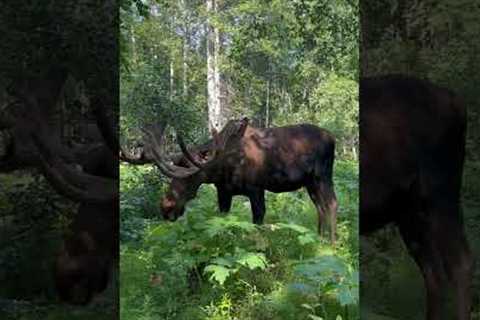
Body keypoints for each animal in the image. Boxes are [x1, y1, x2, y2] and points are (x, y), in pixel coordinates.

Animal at [121, 119, 338, 244]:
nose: (166, 207)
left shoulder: (256, 189)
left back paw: (333, 244)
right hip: (310, 182)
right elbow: (222, 220)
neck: (223, 166)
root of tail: (333, 138)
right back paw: (319, 239)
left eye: (189, 177)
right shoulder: (223, 191)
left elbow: (257, 224)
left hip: (323, 175)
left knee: (332, 203)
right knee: (320, 207)